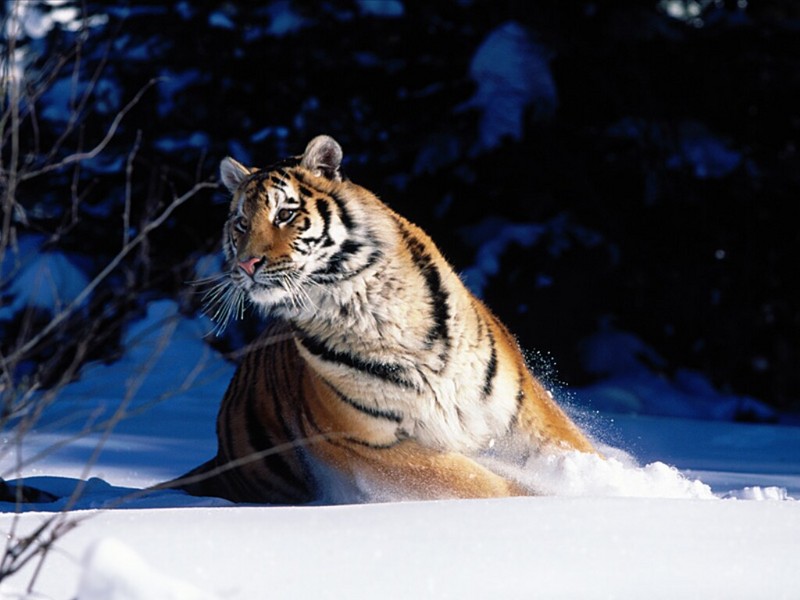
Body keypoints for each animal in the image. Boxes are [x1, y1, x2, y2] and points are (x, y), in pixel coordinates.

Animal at [177, 135, 600, 502]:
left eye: (285, 214)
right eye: (241, 224)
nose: (245, 264)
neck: (368, 304)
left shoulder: (517, 404)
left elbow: (572, 447)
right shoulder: (367, 442)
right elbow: (478, 482)